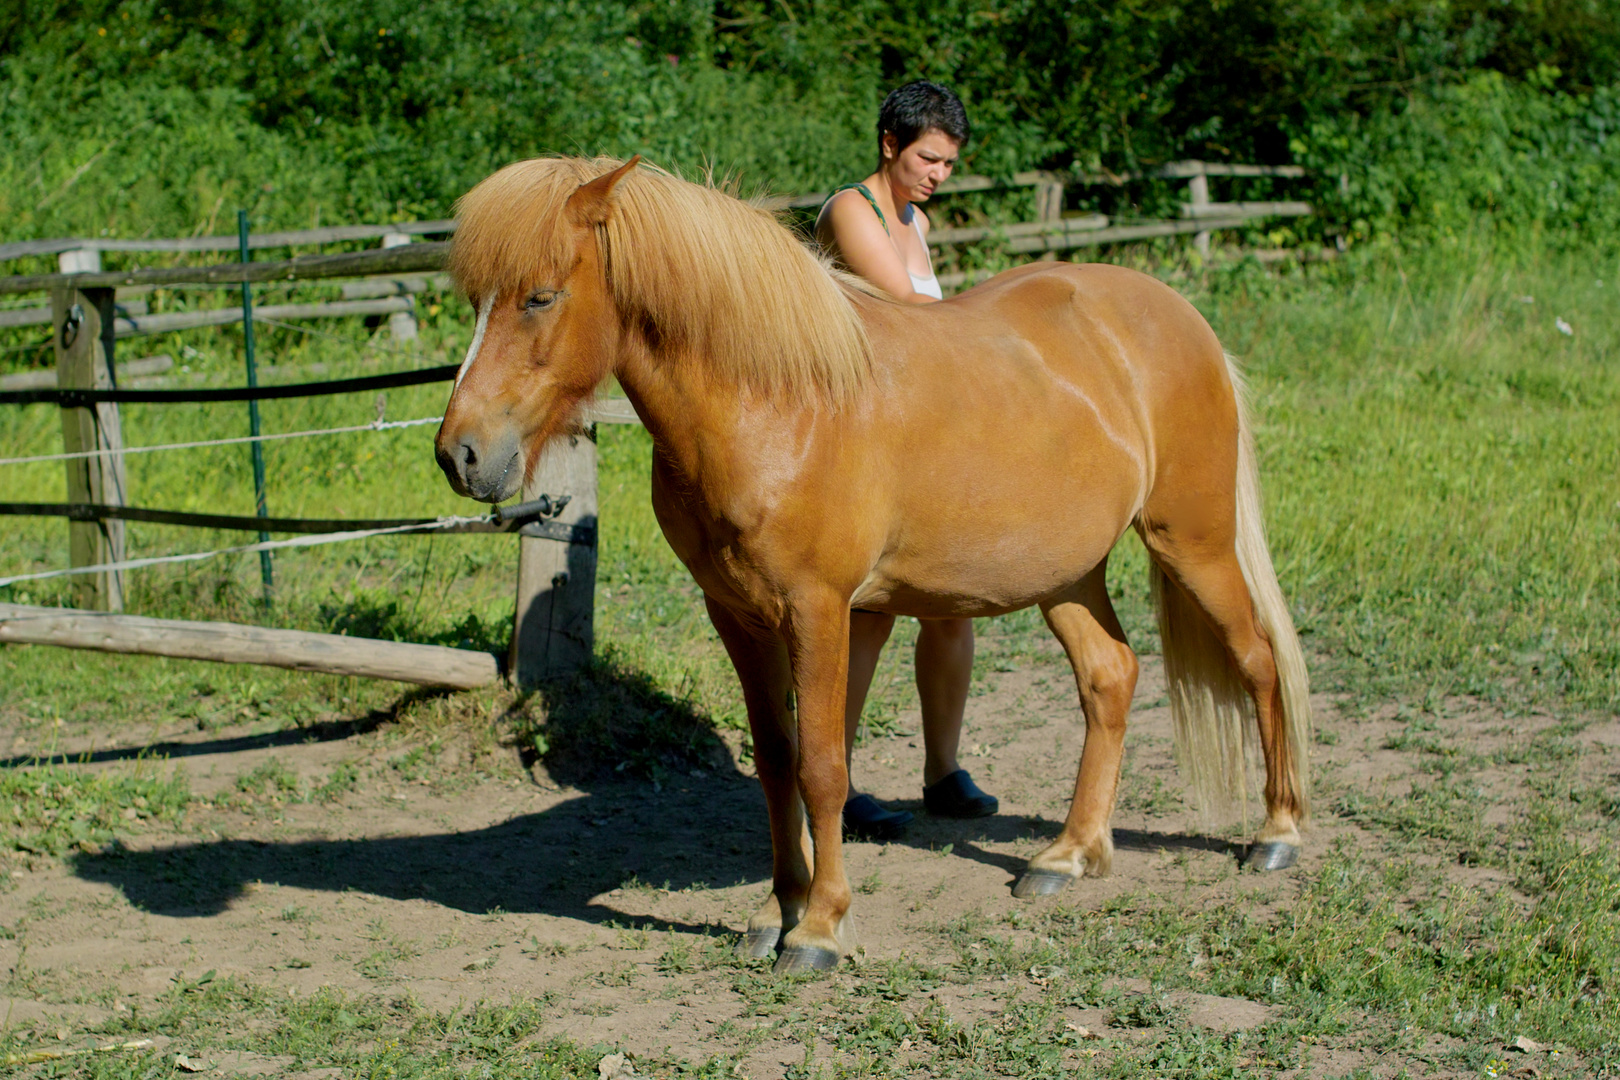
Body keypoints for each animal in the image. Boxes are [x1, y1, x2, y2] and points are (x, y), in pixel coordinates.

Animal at [437, 156, 1308, 977]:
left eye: (541, 296)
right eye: (476, 298)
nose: (461, 455)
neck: (778, 402)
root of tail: (1182, 320)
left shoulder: (819, 609)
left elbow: (823, 766)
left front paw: (820, 927)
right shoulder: (738, 616)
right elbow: (777, 763)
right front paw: (776, 909)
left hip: (1191, 543)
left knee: (1259, 661)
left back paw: (1277, 833)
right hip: (1066, 574)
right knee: (1110, 677)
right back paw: (1069, 854)